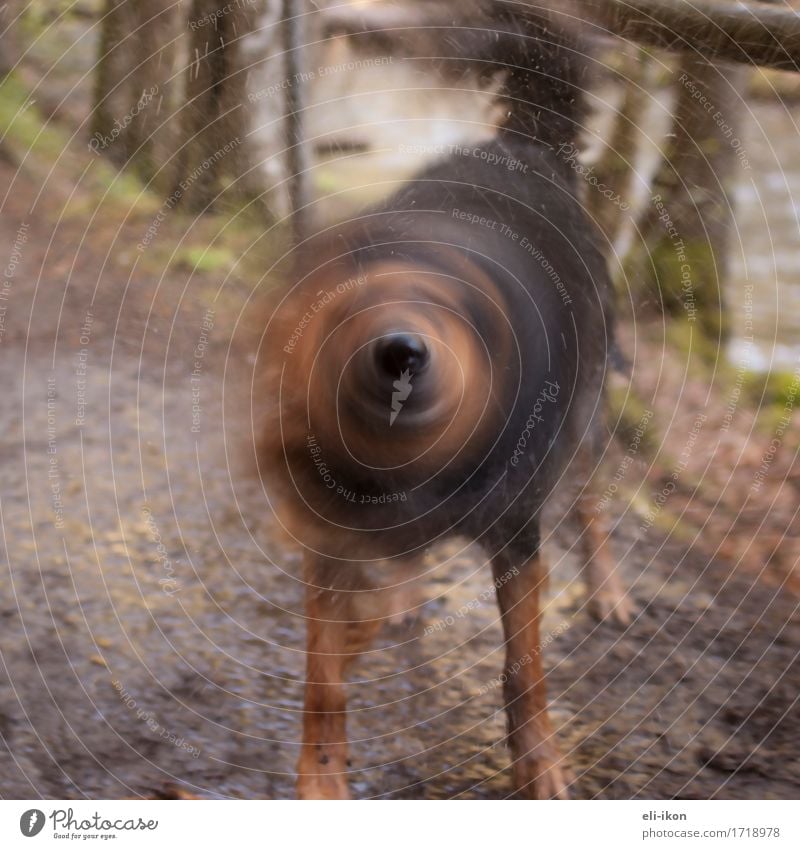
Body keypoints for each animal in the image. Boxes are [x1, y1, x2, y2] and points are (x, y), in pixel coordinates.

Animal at [260, 3, 628, 800]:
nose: (396, 355)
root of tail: (527, 144)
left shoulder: (517, 535)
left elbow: (524, 668)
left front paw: (540, 765)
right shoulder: (330, 536)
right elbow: (324, 674)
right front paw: (321, 778)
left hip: (585, 413)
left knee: (590, 494)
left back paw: (608, 590)